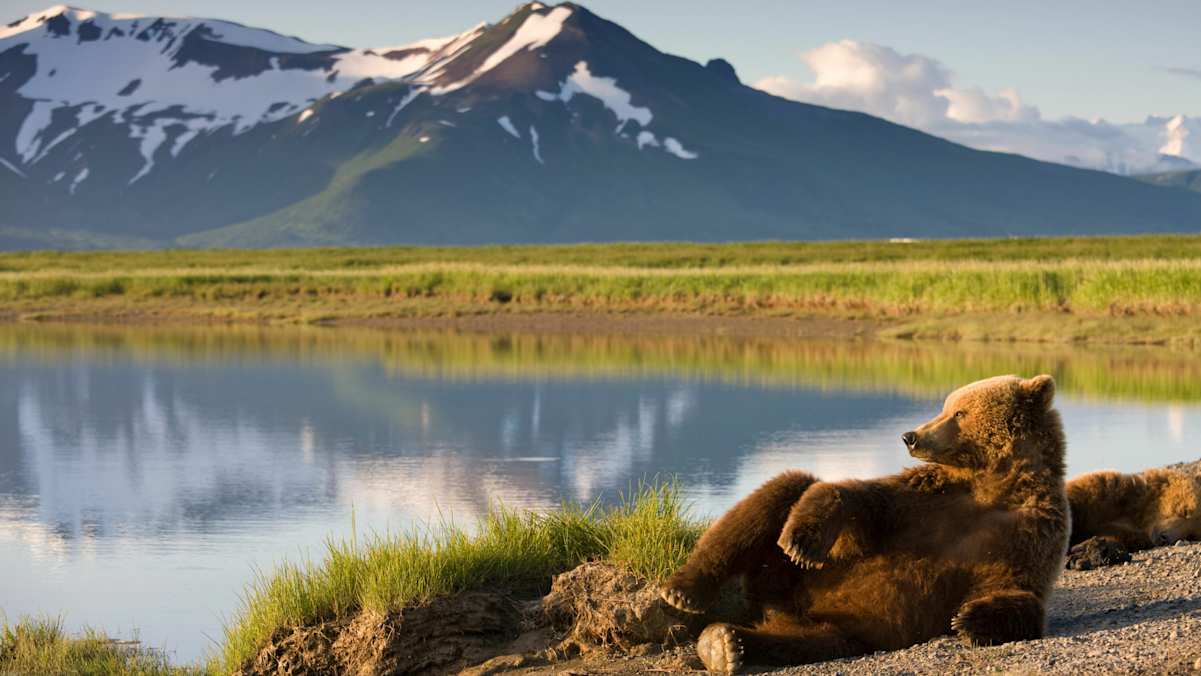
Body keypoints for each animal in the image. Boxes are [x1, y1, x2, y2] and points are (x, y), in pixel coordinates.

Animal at [659, 375, 1069, 673]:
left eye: (959, 413)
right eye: (946, 406)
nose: (911, 436)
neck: (991, 485)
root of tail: (781, 608)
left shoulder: (1027, 531)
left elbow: (1017, 589)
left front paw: (970, 619)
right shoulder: (927, 500)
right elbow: (861, 500)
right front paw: (802, 540)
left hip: (838, 627)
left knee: (803, 641)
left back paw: (725, 644)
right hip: (786, 576)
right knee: (783, 489)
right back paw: (685, 591)